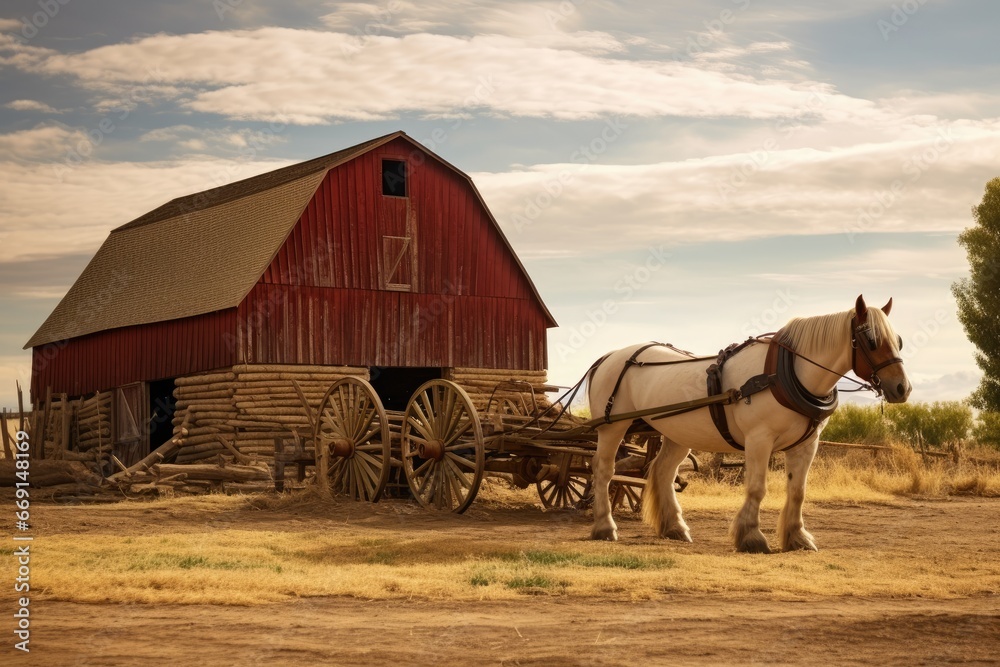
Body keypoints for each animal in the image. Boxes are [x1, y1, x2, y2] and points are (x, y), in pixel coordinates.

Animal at [588, 296, 912, 552]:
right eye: (871, 340)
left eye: (898, 340)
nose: (902, 388)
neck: (784, 373)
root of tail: (608, 357)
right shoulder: (759, 439)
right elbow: (757, 488)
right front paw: (751, 537)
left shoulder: (807, 445)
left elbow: (798, 491)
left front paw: (798, 538)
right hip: (612, 427)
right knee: (604, 471)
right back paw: (605, 527)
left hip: (678, 433)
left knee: (663, 472)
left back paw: (675, 528)